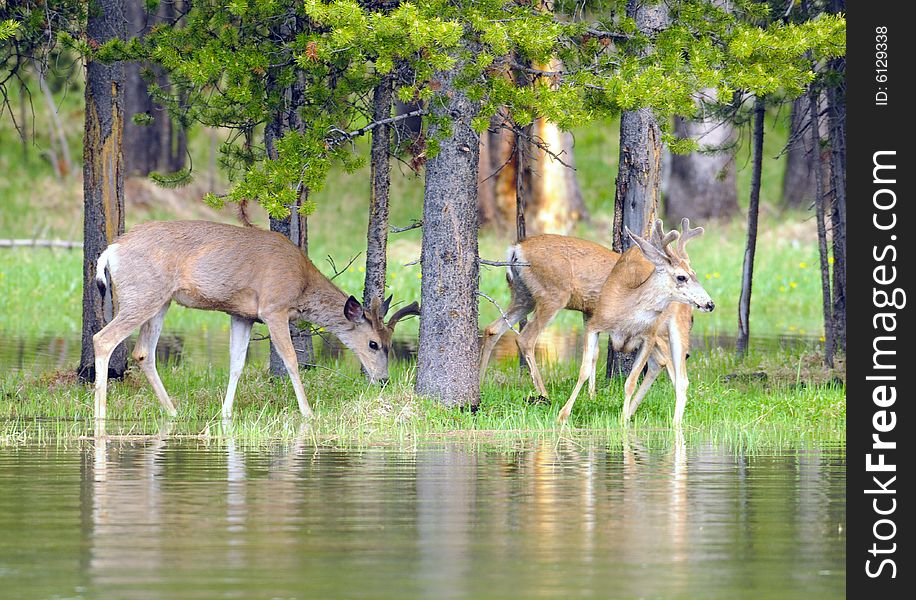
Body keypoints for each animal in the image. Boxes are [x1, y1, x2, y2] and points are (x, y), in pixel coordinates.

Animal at [91, 220, 420, 422]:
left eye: (390, 342)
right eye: (373, 344)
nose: (383, 379)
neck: (301, 284)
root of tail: (110, 251)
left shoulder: (242, 314)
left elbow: (237, 363)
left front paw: (226, 413)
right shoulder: (273, 308)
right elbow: (291, 360)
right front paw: (308, 412)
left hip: (161, 300)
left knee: (142, 352)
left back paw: (173, 412)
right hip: (143, 294)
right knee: (103, 339)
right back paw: (100, 412)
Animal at [556, 218, 712, 424]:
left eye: (695, 274)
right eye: (682, 276)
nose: (710, 304)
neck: (626, 316)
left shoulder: (648, 336)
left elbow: (630, 381)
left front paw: (622, 421)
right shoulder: (594, 324)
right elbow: (584, 370)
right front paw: (562, 415)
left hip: (677, 325)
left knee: (681, 379)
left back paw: (674, 424)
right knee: (660, 364)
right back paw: (633, 412)